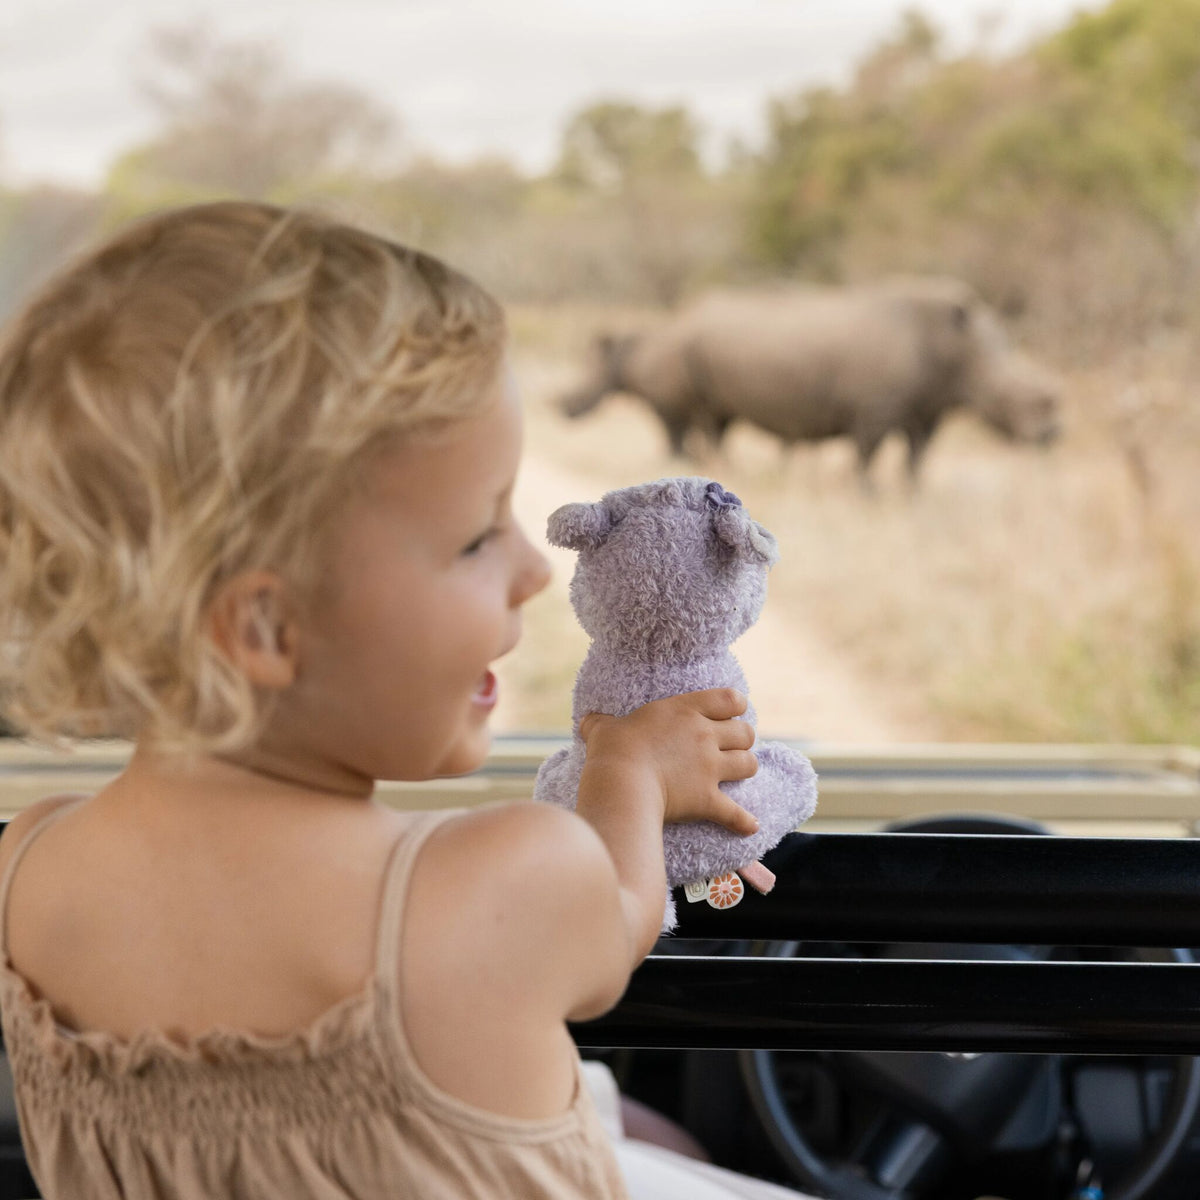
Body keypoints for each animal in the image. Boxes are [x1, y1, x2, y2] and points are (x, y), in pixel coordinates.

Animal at [559, 278, 1063, 486]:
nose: (1052, 437)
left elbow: (917, 456)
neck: (963, 350)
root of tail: (679, 319)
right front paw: (867, 495)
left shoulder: (929, 406)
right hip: (689, 351)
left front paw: (913, 495)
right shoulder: (877, 408)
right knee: (706, 420)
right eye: (1015, 398)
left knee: (715, 421)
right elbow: (868, 455)